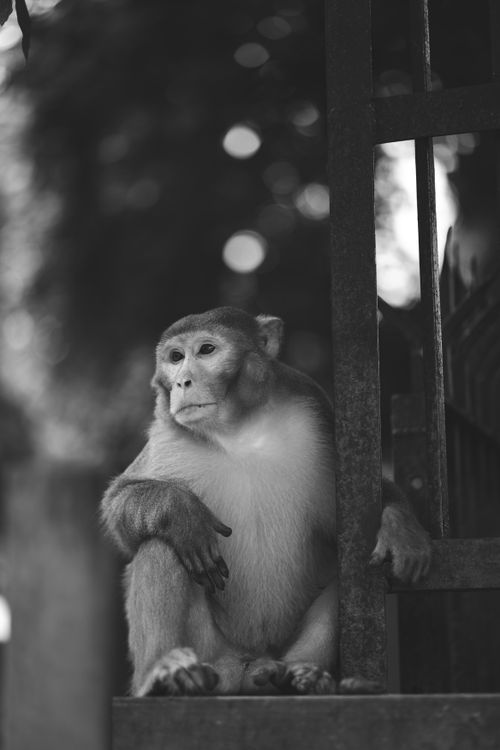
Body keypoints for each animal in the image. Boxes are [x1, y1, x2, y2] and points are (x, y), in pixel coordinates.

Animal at [101, 306, 431, 697]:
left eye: (206, 350)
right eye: (175, 357)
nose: (182, 382)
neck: (238, 430)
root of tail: (245, 664)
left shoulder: (313, 408)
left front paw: (400, 529)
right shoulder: (167, 433)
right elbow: (120, 507)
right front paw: (179, 510)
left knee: (351, 569)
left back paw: (293, 675)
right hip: (212, 653)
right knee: (162, 544)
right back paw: (167, 671)